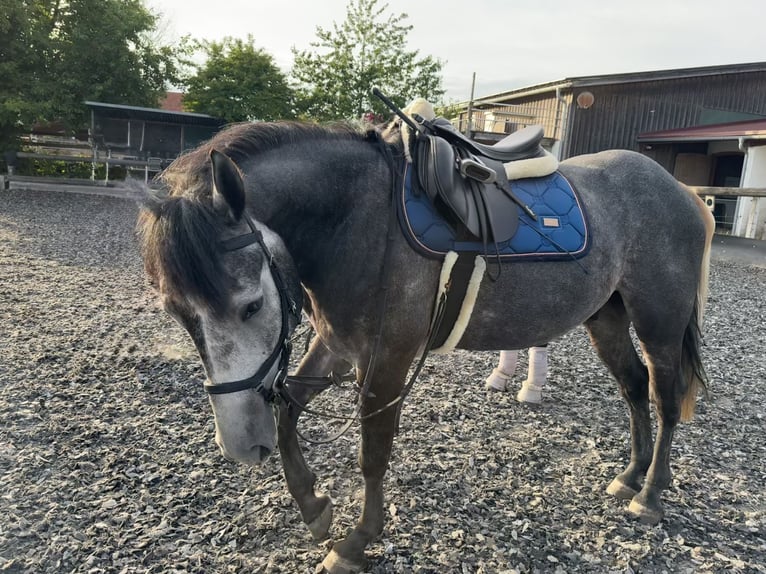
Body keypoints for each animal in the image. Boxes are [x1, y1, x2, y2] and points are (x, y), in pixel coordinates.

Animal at [137, 119, 715, 574]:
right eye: (177, 314)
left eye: (252, 305)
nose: (239, 446)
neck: (356, 218)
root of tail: (682, 191)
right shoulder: (338, 344)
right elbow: (288, 409)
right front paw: (312, 504)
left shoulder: (387, 358)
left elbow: (372, 452)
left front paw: (356, 542)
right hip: (607, 317)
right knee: (634, 387)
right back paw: (630, 476)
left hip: (660, 321)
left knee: (664, 397)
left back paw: (651, 495)